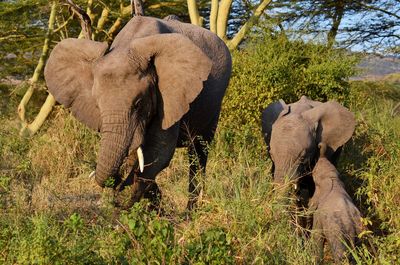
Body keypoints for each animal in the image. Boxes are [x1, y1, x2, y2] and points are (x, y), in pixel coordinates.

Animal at [43, 15, 231, 209]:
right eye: (97, 105)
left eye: (139, 103)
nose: (117, 178)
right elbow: (143, 155)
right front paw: (152, 204)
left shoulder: (170, 94)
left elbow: (159, 151)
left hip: (215, 104)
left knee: (199, 151)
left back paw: (190, 211)